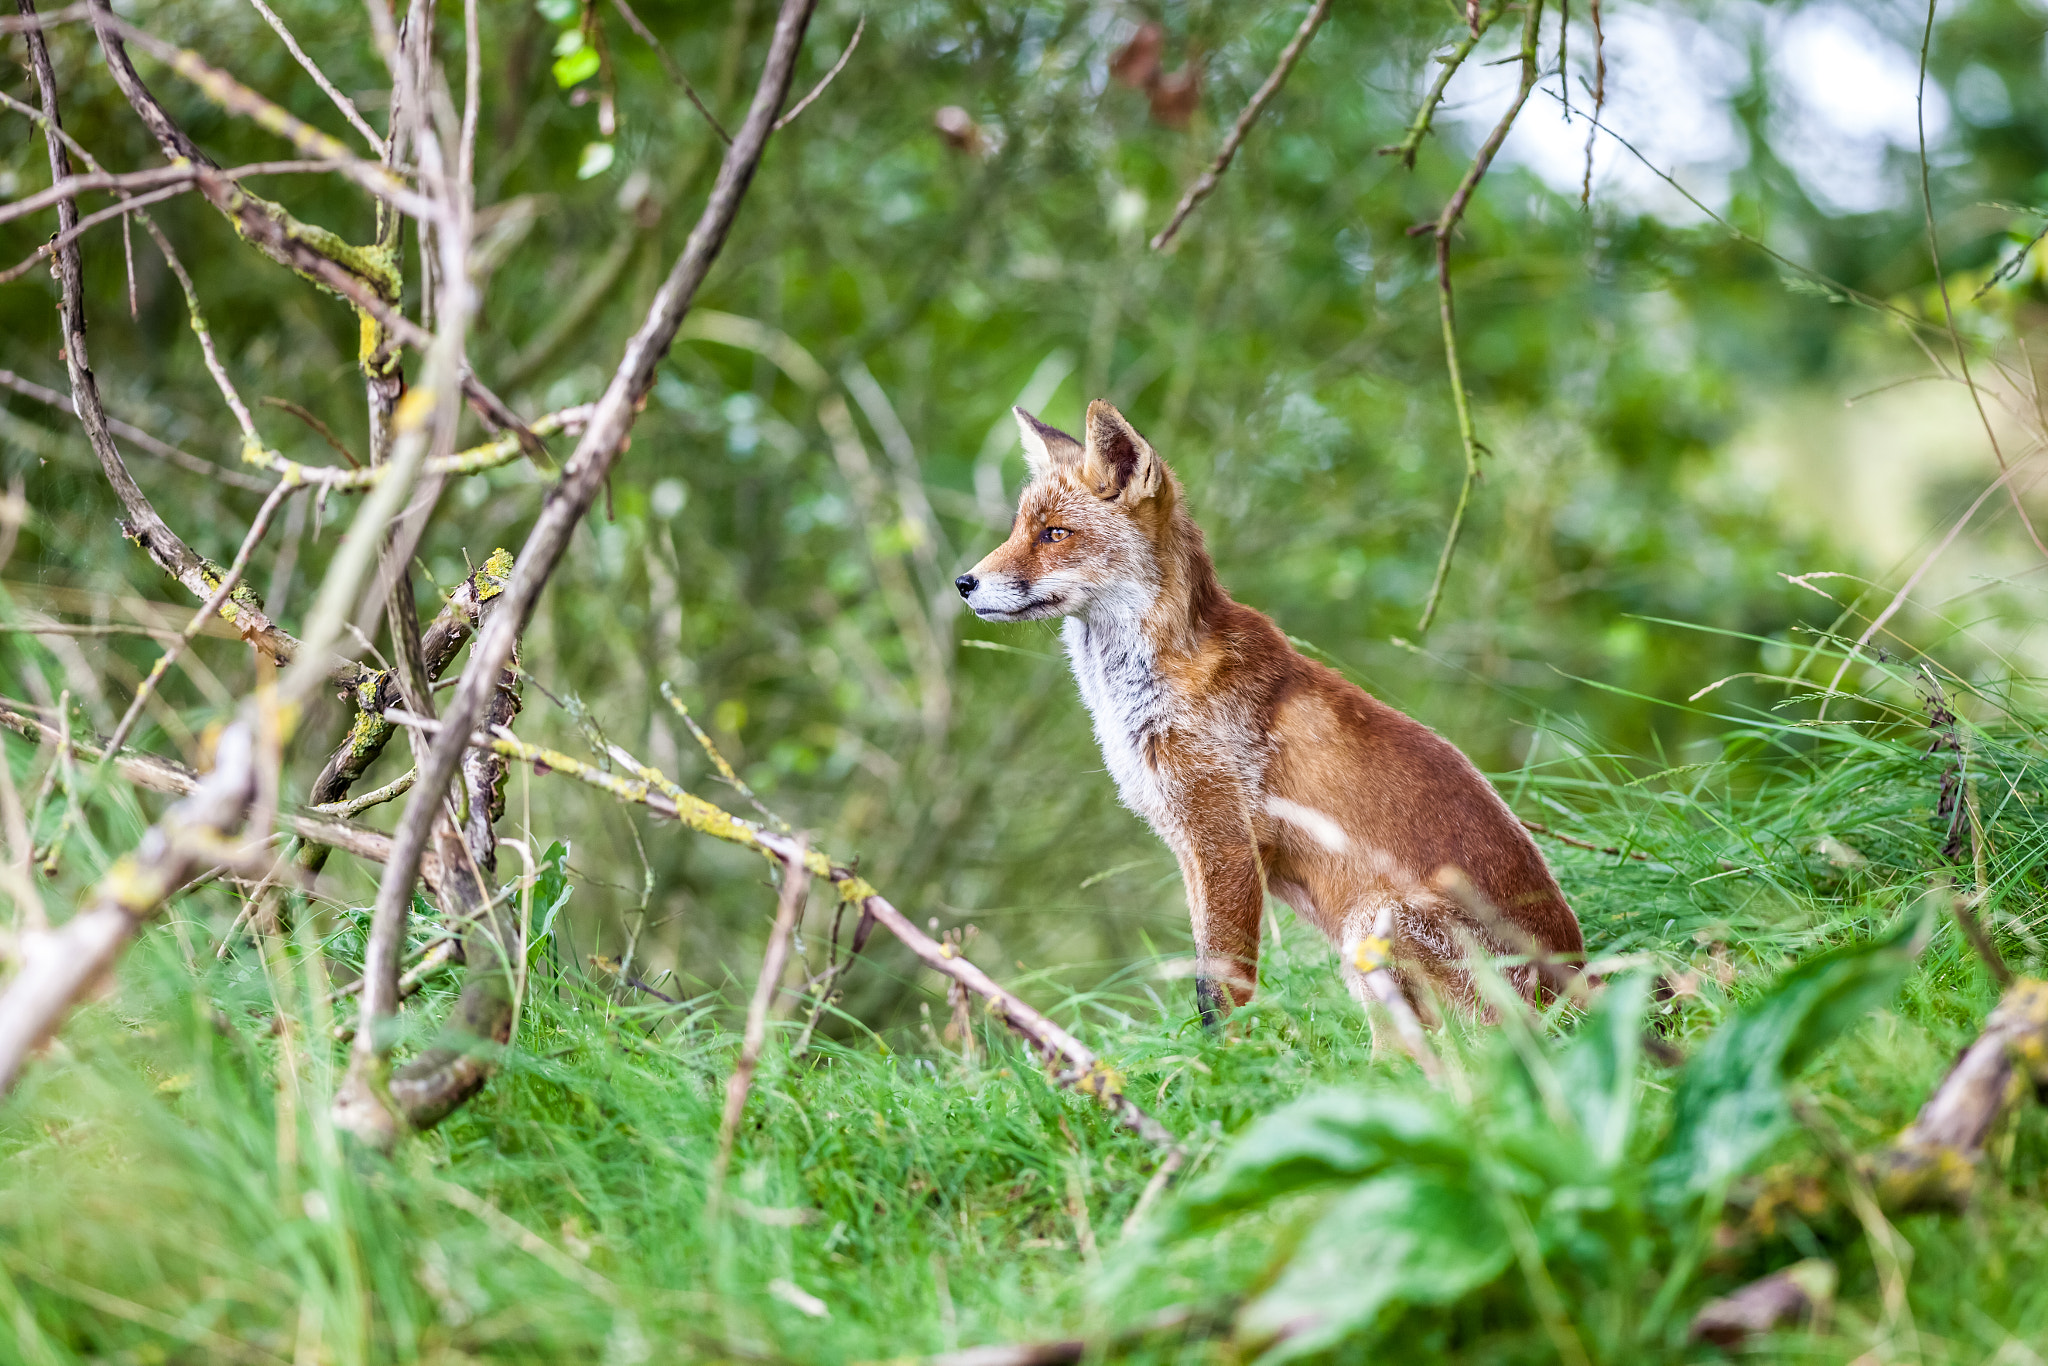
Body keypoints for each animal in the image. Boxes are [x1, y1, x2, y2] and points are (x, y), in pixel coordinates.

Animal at [954, 401, 1581, 1032]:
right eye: (1017, 530)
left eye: (1055, 534)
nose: (963, 582)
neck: (1134, 700)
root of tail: (1571, 989)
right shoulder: (1188, 847)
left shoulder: (1225, 837)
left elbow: (1219, 990)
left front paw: (1226, 1057)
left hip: (1371, 927)